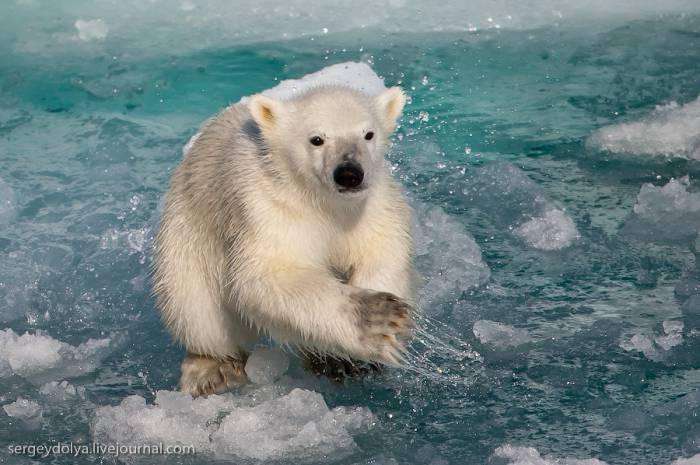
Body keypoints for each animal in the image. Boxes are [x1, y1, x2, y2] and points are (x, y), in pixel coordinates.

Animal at [153, 81, 416, 394]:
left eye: (368, 134)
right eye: (317, 139)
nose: (349, 174)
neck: (320, 200)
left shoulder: (371, 205)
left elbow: (384, 252)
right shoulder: (269, 208)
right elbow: (269, 276)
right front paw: (376, 319)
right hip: (186, 236)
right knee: (197, 311)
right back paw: (214, 368)